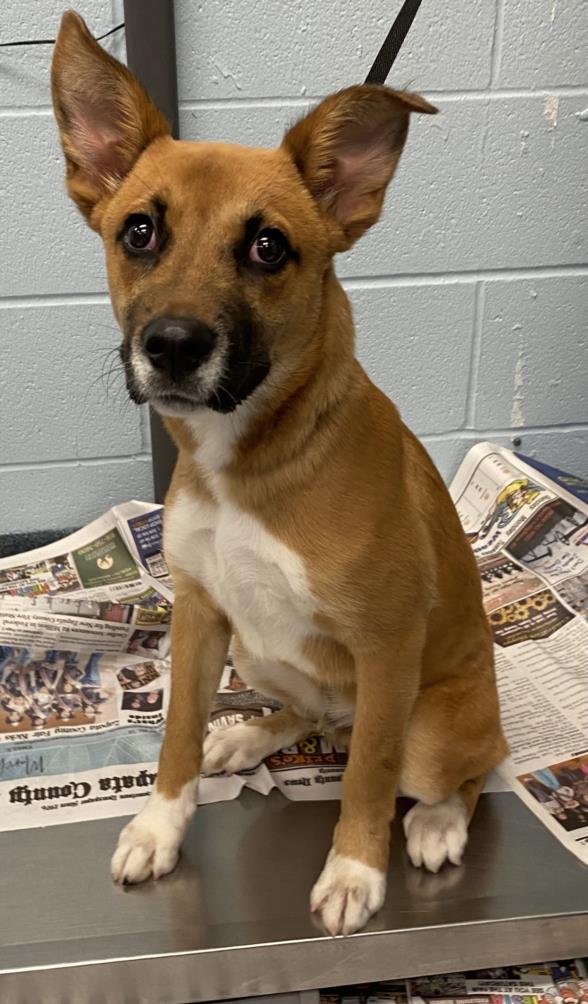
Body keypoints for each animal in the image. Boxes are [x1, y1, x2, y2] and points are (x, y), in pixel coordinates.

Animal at [52, 13, 505, 939]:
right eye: (139, 231)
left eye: (268, 247)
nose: (173, 346)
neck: (246, 461)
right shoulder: (198, 614)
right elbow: (176, 733)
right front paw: (160, 825)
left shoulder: (387, 643)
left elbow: (367, 775)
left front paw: (355, 870)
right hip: (257, 653)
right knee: (317, 715)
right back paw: (250, 736)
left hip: (438, 725)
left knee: (454, 764)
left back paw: (438, 821)